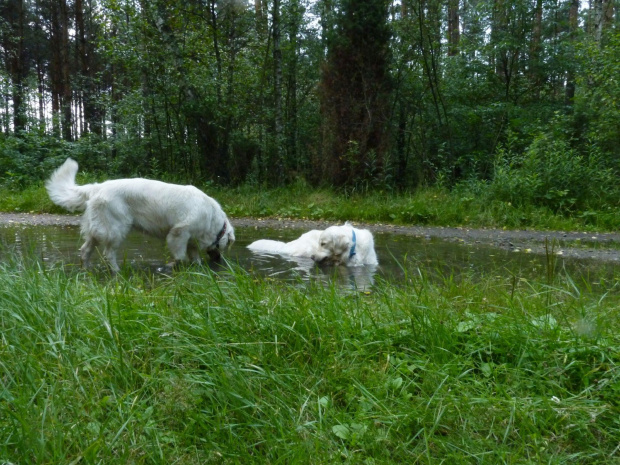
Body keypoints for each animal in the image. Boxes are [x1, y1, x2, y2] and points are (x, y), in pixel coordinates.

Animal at [44, 158, 235, 270]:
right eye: (225, 245)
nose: (219, 261)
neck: (212, 220)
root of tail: (97, 187)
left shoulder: (190, 240)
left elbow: (194, 256)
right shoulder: (178, 233)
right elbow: (180, 256)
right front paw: (173, 266)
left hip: (97, 230)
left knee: (85, 251)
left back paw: (86, 270)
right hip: (116, 230)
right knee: (108, 254)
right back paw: (117, 272)